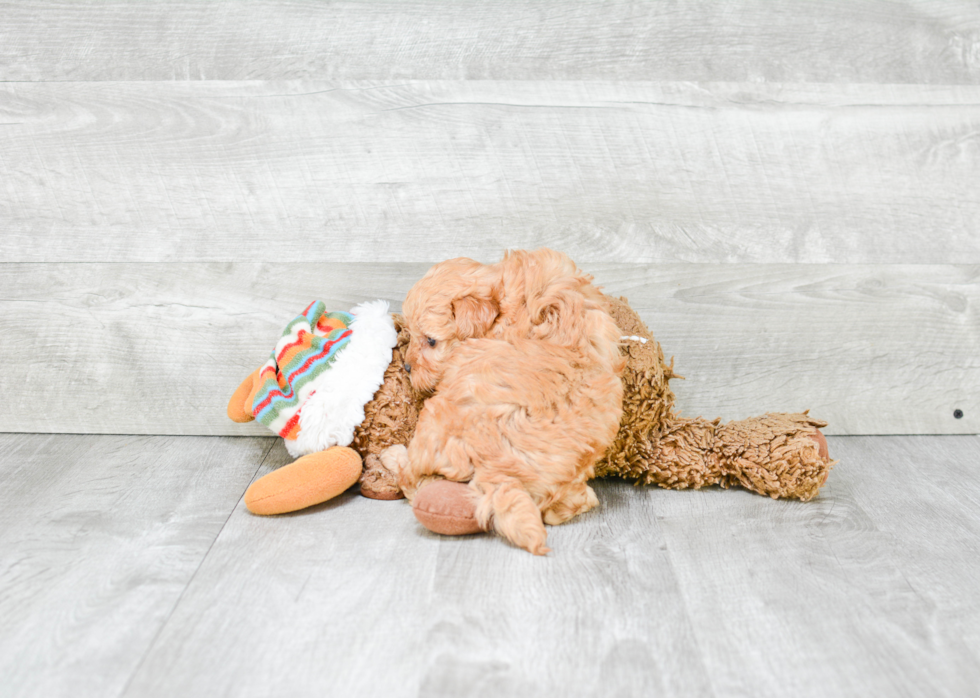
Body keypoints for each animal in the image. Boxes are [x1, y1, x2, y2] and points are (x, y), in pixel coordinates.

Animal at [384, 247, 624, 552]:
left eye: (431, 341)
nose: (406, 367)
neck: (510, 299)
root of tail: (499, 469)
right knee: (568, 506)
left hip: (435, 418)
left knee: (413, 478)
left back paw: (392, 455)